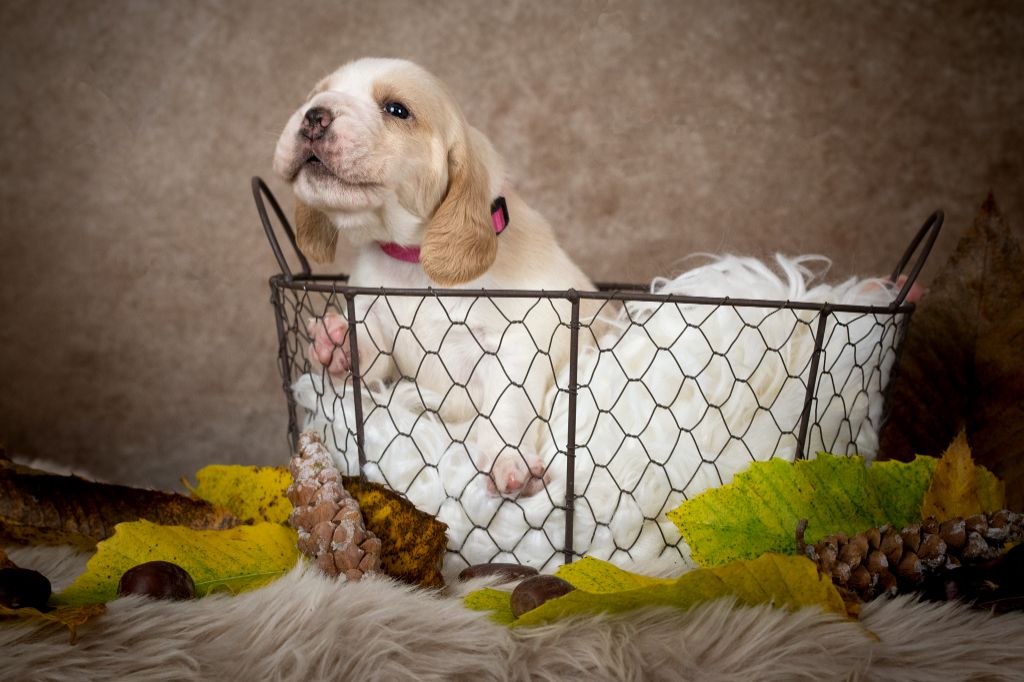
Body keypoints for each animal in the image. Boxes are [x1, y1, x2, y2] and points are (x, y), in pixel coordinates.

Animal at [273, 58, 597, 498]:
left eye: (397, 110)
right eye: (314, 96)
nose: (313, 116)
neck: (411, 261)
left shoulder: (516, 345)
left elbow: (506, 408)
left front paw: (508, 461)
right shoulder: (378, 324)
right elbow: (369, 358)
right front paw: (336, 343)